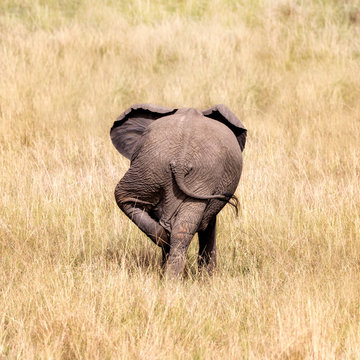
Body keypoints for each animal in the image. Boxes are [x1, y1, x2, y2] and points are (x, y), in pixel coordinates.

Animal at [111, 102, 248, 278]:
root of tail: (181, 161)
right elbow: (209, 225)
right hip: (170, 169)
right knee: (124, 196)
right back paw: (170, 275)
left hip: (155, 167)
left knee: (126, 197)